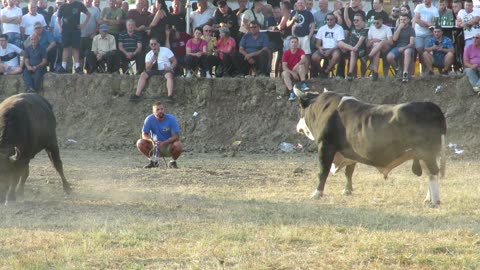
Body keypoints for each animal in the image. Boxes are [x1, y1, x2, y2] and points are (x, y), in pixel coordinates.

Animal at [292, 87, 446, 206]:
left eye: (299, 107)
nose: (297, 127)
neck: (325, 110)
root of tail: (431, 106)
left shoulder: (325, 146)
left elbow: (323, 172)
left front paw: (317, 193)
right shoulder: (351, 151)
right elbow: (349, 172)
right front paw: (347, 190)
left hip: (426, 152)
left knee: (433, 173)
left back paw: (435, 201)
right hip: (425, 155)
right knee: (430, 173)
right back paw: (428, 199)